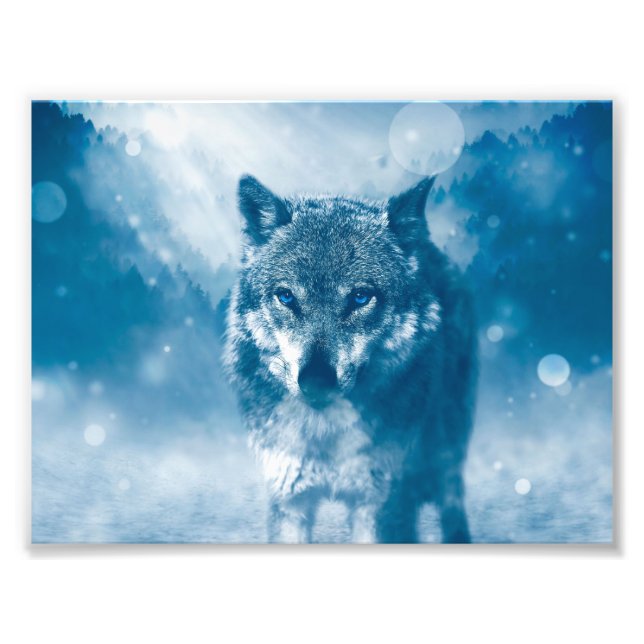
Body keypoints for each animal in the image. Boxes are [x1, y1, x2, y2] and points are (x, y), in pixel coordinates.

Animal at [224, 174, 477, 543]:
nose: (316, 381)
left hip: (446, 447)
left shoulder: (379, 504)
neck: (325, 433)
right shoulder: (289, 499)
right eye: (286, 296)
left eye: (360, 297)